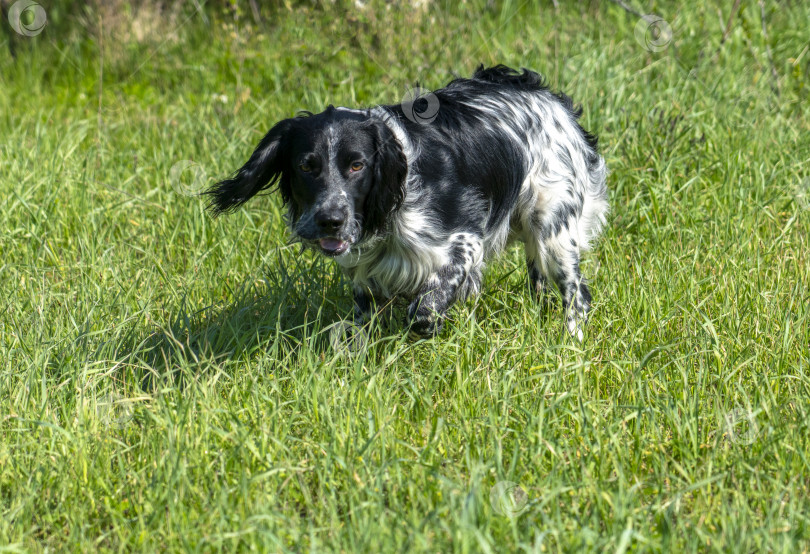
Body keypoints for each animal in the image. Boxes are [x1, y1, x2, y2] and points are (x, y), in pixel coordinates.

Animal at [207, 65, 608, 340]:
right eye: (307, 166)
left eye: (357, 165)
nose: (330, 220)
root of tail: (545, 94)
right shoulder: (365, 271)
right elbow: (363, 322)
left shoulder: (464, 242)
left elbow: (422, 311)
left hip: (552, 227)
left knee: (577, 293)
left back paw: (571, 342)